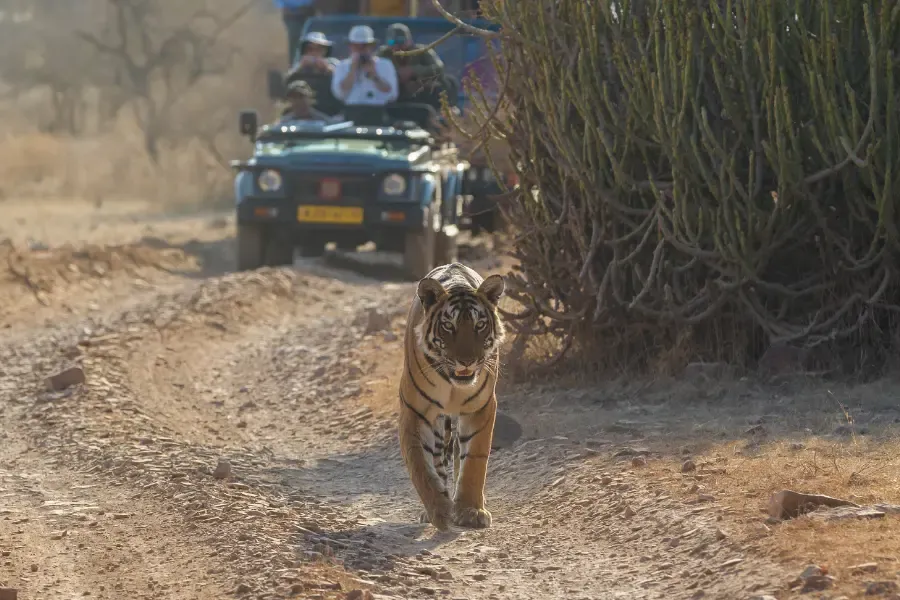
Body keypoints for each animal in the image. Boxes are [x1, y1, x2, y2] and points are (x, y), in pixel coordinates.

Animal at [398, 262, 506, 530]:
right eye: (449, 326)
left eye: (480, 325)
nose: (466, 361)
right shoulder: (415, 412)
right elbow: (421, 466)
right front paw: (440, 510)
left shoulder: (481, 408)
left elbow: (474, 461)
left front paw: (470, 510)